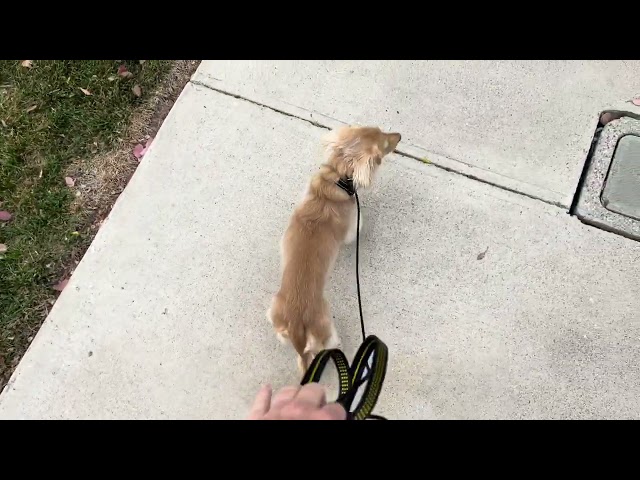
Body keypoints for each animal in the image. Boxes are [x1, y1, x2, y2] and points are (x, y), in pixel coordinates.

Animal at [268, 125, 400, 376]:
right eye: (384, 147)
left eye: (379, 129)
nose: (399, 136)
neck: (336, 179)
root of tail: (296, 325)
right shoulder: (351, 225)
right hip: (326, 326)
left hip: (273, 312)